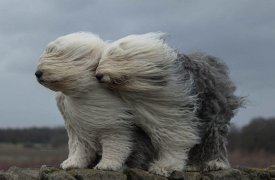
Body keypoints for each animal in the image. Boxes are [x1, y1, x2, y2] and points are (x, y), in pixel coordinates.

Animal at [35, 33, 156, 172]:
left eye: (58, 54)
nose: (37, 73)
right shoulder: (77, 121)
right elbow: (81, 144)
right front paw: (72, 163)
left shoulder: (115, 120)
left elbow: (116, 140)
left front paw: (107, 165)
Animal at [96, 32, 245, 176]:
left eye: (115, 57)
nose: (98, 75)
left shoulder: (174, 114)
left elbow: (173, 140)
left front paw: (164, 167)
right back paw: (194, 165)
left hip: (214, 114)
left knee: (214, 138)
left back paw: (214, 162)